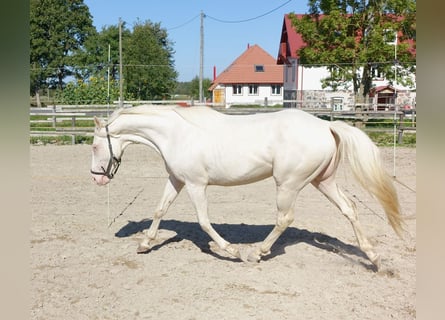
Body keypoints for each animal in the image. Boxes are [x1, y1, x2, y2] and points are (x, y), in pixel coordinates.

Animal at [90, 105, 402, 270]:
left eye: (94, 146)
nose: (97, 178)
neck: (176, 135)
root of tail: (326, 126)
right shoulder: (177, 180)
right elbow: (159, 210)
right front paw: (144, 245)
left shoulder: (195, 184)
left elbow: (204, 222)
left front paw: (232, 251)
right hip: (322, 181)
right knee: (350, 210)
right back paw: (374, 259)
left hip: (288, 184)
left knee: (284, 219)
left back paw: (256, 253)